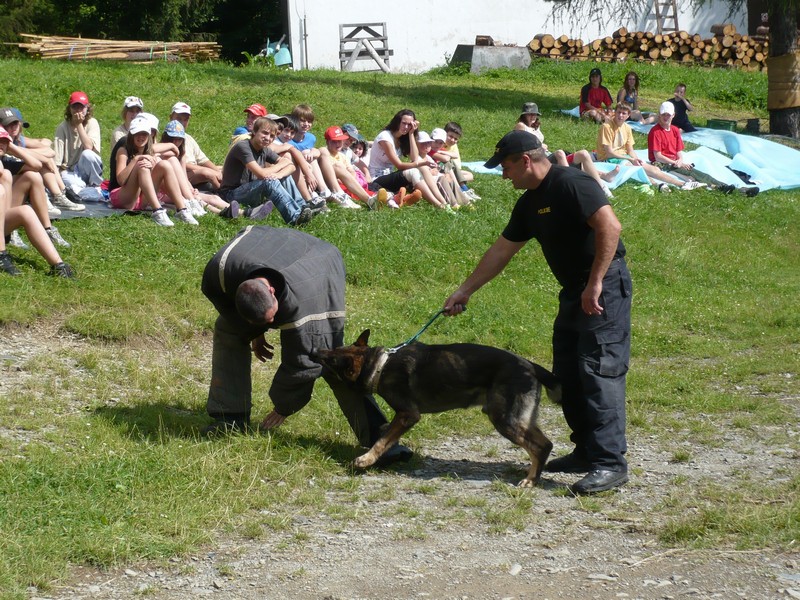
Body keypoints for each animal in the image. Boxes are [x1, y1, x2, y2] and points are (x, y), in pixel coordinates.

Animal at [312, 330, 564, 486]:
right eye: (334, 349)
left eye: (331, 360)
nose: (315, 351)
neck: (380, 366)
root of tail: (530, 365)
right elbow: (385, 435)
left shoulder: (407, 415)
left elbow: (382, 440)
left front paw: (366, 460)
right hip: (519, 418)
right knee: (545, 444)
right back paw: (533, 476)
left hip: (504, 419)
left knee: (540, 446)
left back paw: (531, 481)